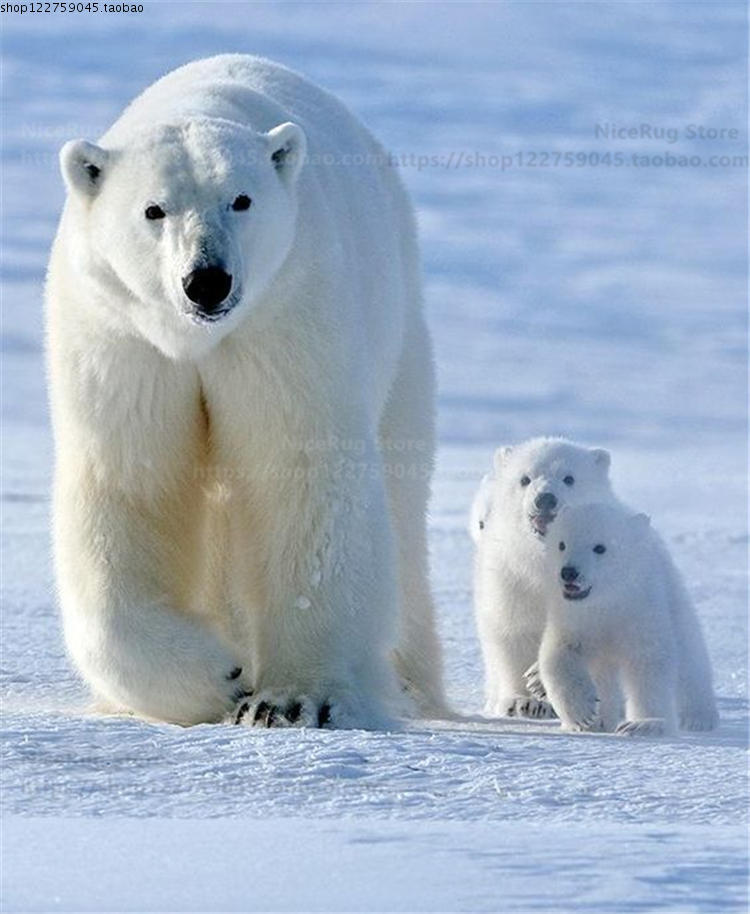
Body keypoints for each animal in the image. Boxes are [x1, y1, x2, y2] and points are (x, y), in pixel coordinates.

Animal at [47, 55, 444, 728]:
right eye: (154, 210)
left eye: (241, 199)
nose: (207, 280)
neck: (198, 339)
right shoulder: (123, 338)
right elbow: (131, 482)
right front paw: (218, 675)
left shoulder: (285, 313)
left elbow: (298, 469)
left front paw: (292, 699)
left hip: (398, 339)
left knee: (401, 497)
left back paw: (410, 684)